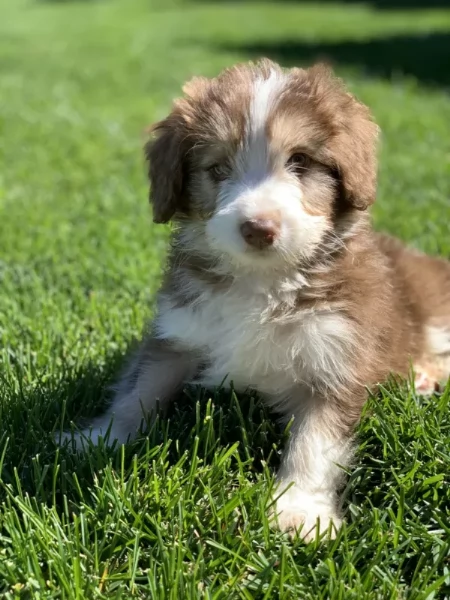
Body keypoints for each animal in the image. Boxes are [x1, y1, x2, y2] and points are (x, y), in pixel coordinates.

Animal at [58, 59, 450, 540]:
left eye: (300, 161)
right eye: (218, 168)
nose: (259, 228)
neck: (261, 284)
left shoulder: (337, 355)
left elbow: (315, 442)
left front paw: (300, 511)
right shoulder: (180, 328)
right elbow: (140, 389)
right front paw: (99, 438)